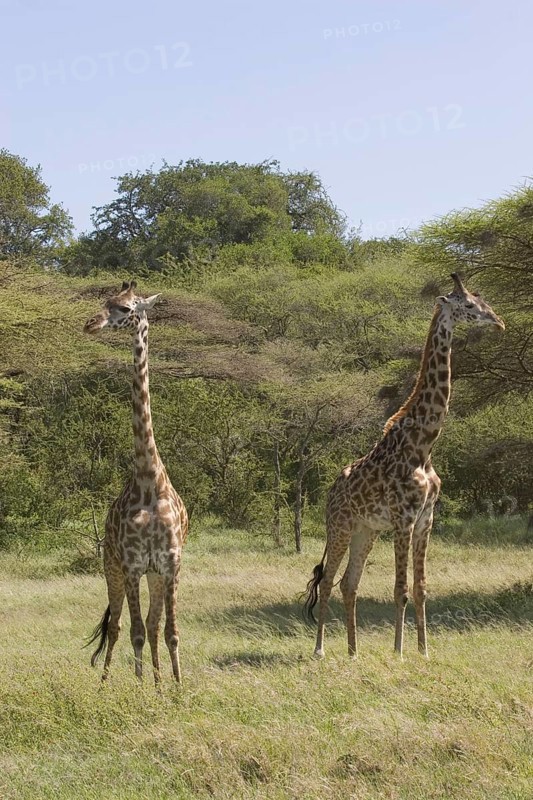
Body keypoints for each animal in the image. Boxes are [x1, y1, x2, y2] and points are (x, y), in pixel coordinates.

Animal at [84, 280, 188, 684]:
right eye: (104, 302)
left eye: (126, 308)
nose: (91, 324)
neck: (147, 479)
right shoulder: (130, 565)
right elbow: (135, 632)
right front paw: (140, 688)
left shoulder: (170, 565)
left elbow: (169, 631)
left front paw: (175, 687)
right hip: (110, 567)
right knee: (115, 626)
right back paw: (104, 683)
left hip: (154, 575)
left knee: (154, 625)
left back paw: (159, 683)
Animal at [304, 273, 505, 659]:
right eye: (468, 305)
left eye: (482, 300)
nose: (498, 322)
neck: (423, 445)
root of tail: (330, 492)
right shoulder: (404, 519)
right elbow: (401, 589)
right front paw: (398, 653)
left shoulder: (426, 519)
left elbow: (421, 587)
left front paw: (424, 652)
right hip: (340, 526)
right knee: (327, 581)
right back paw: (320, 650)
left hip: (366, 530)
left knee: (349, 583)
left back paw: (353, 652)